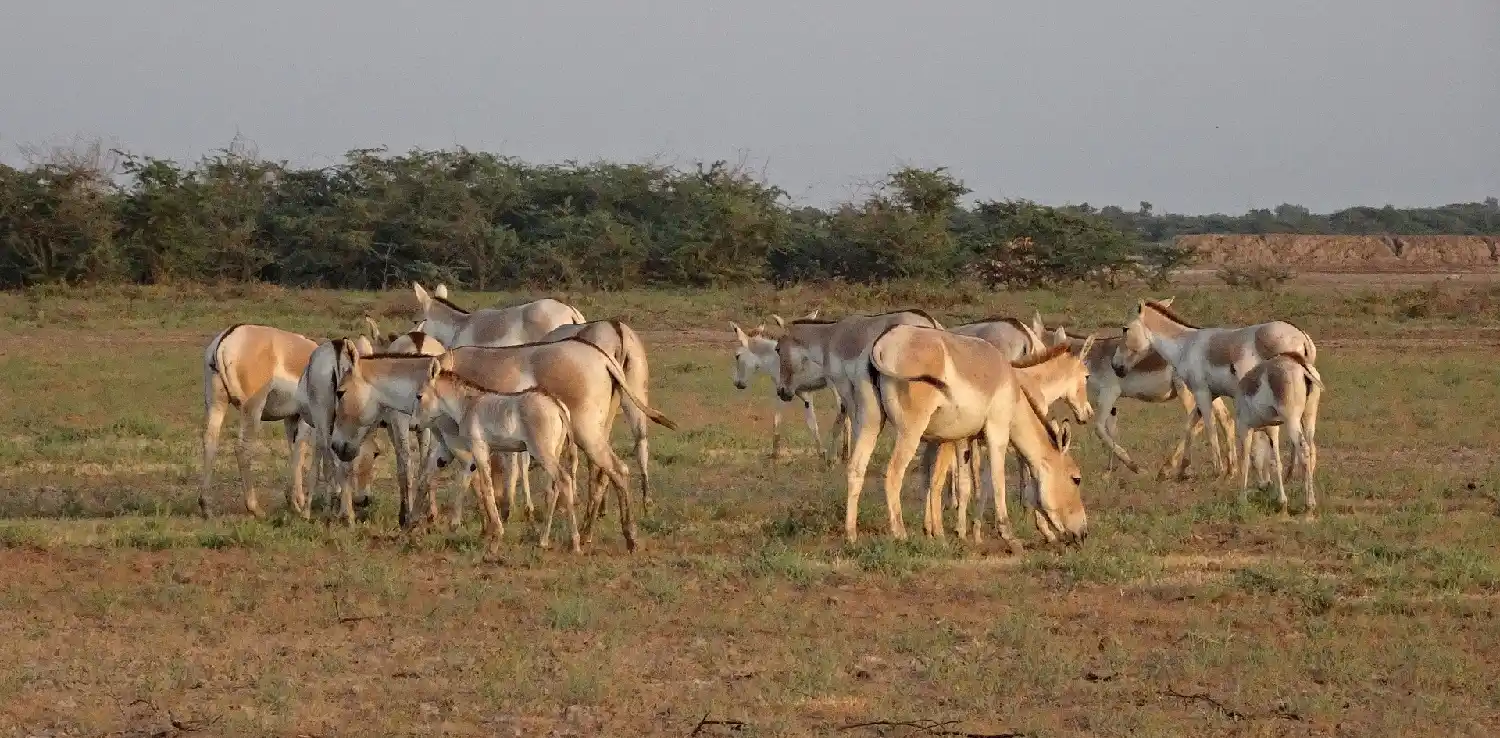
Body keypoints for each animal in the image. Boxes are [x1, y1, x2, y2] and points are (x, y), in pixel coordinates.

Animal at [201, 322, 318, 519]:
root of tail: (229, 336)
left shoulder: (291, 419)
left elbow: (294, 451)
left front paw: (294, 501)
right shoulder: (306, 421)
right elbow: (300, 452)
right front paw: (299, 504)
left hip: (216, 404)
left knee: (210, 443)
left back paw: (206, 506)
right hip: (252, 410)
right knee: (242, 449)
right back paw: (255, 508)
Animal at [870, 325, 1092, 552]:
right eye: (1076, 479)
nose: (1083, 534)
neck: (1020, 386)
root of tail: (886, 342)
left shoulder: (971, 440)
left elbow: (976, 483)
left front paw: (969, 533)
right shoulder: (997, 433)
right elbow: (1001, 480)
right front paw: (1016, 535)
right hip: (912, 431)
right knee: (895, 473)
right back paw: (902, 534)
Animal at [1110, 301, 1320, 483]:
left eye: (1125, 328)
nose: (1115, 366)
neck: (1186, 346)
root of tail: (1301, 336)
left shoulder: (1201, 392)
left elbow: (1209, 427)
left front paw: (1218, 471)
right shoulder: (1210, 393)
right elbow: (1190, 426)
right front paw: (1175, 469)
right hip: (1306, 404)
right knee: (1307, 439)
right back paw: (1294, 475)